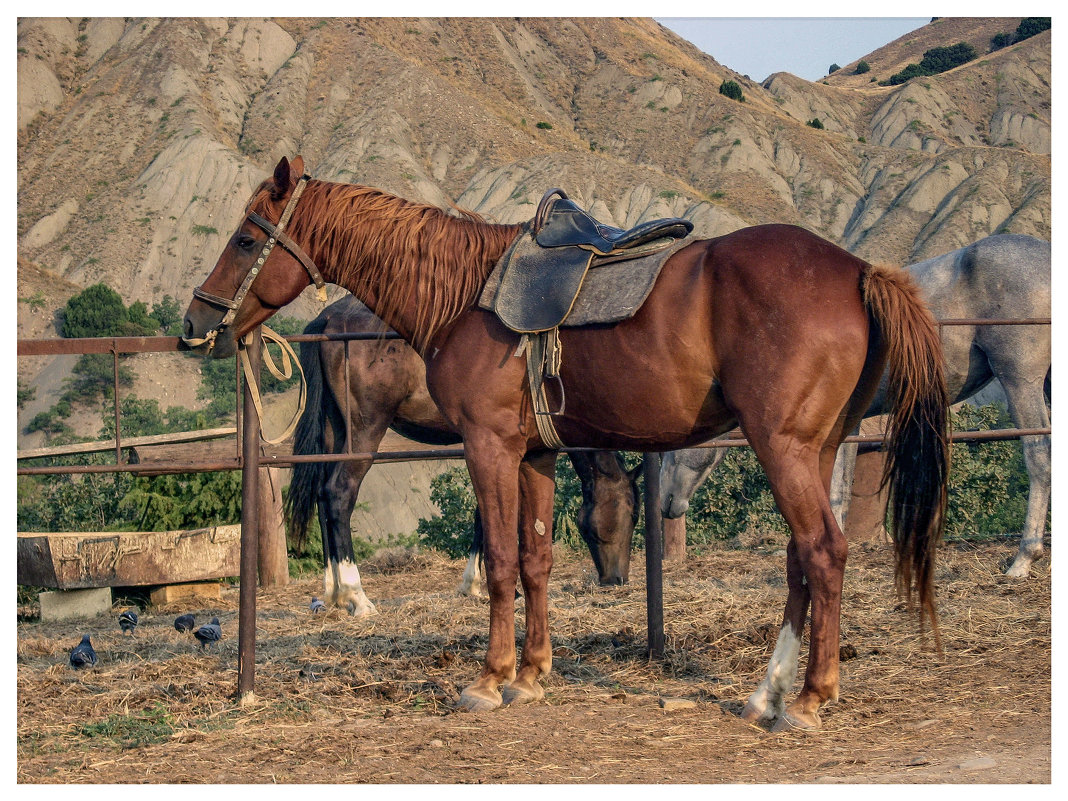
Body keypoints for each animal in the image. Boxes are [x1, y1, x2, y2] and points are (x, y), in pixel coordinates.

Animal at [279, 294, 636, 615]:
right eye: (631, 515)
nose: (617, 580)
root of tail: (329, 317)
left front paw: (477, 584)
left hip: (335, 431)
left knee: (322, 496)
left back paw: (333, 591)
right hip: (365, 433)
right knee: (339, 494)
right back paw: (356, 596)